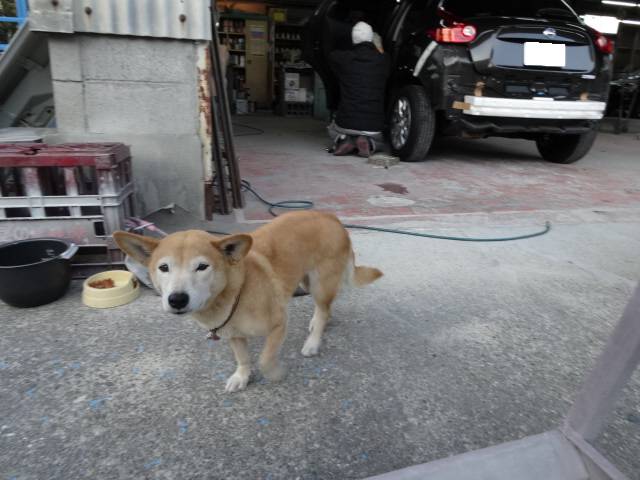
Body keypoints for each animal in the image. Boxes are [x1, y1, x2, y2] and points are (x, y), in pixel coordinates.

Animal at [112, 212, 382, 392]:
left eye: (202, 267)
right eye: (164, 268)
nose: (177, 299)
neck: (236, 291)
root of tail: (331, 216)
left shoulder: (279, 324)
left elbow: (264, 359)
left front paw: (274, 373)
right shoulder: (233, 334)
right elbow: (243, 358)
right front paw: (242, 376)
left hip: (319, 283)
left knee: (324, 308)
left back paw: (313, 342)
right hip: (307, 282)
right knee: (325, 308)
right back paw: (319, 323)